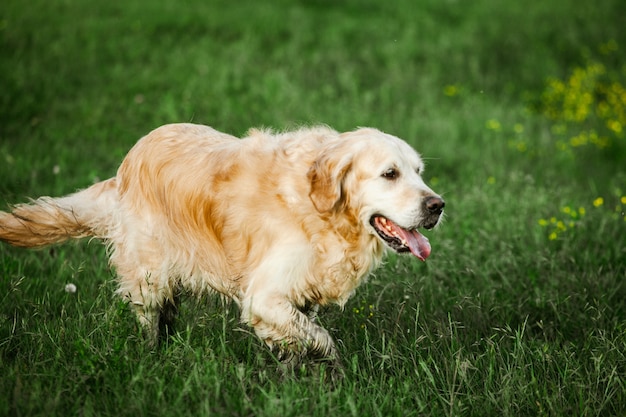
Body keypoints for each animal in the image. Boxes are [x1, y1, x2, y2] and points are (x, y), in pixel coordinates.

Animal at [0, 122, 442, 370]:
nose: (437, 205)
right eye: (390, 174)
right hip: (150, 272)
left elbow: (303, 337)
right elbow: (322, 341)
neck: (321, 212)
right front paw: (330, 370)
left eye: (419, 172)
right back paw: (151, 360)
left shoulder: (300, 294)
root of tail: (125, 166)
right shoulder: (264, 296)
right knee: (149, 320)